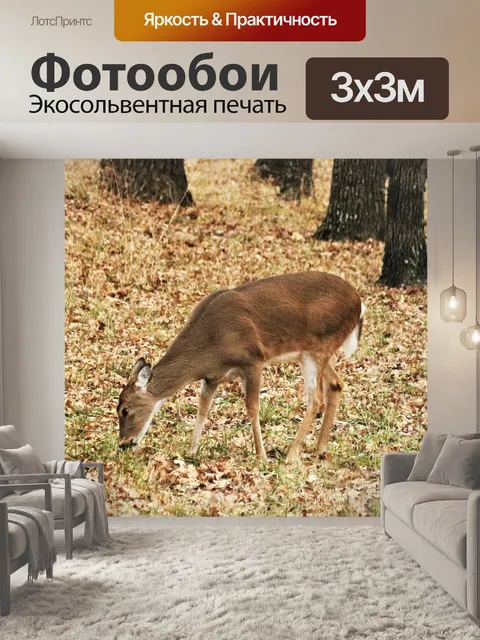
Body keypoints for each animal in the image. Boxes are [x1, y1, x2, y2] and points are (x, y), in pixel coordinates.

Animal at [116, 272, 364, 463]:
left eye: (124, 410)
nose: (124, 444)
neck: (211, 342)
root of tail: (359, 303)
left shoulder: (252, 360)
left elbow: (252, 408)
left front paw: (261, 457)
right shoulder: (212, 377)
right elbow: (203, 409)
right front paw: (191, 451)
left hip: (319, 348)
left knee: (316, 399)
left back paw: (291, 456)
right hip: (311, 352)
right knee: (336, 384)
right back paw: (319, 449)